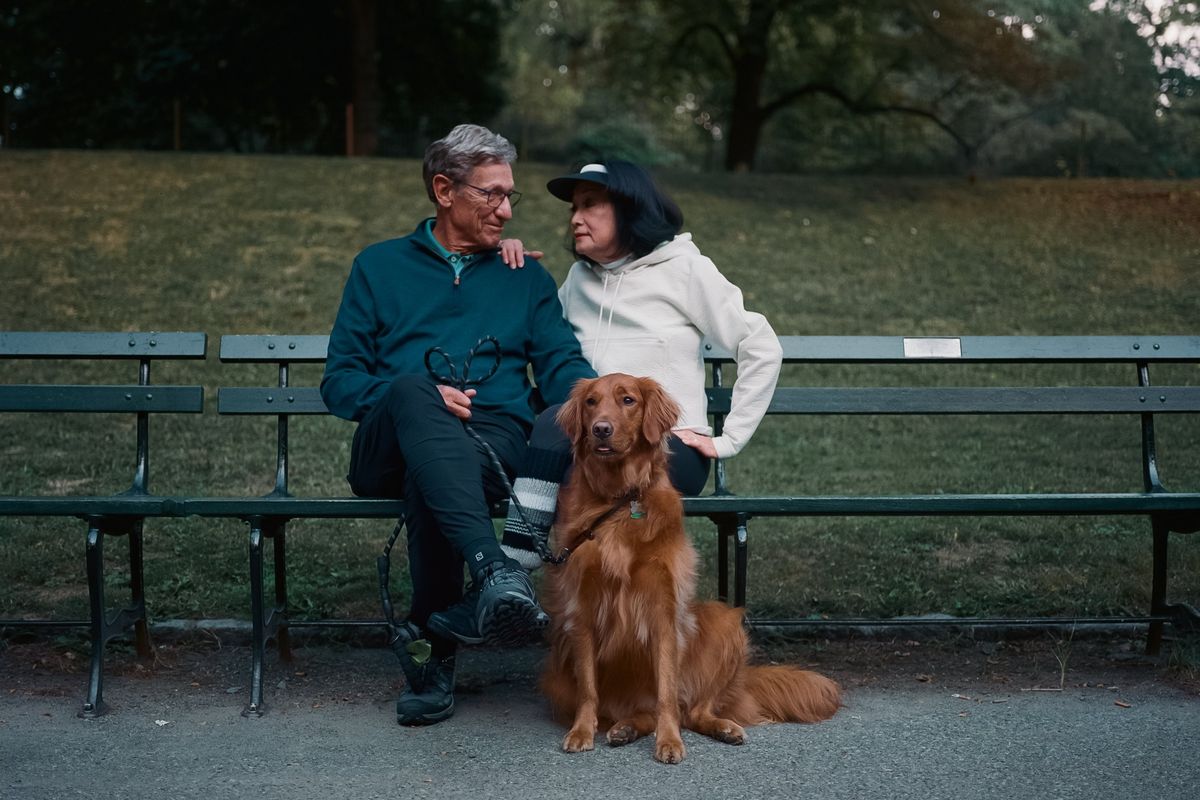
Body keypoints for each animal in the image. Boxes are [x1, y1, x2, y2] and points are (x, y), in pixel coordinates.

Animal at [540, 374, 840, 762]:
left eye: (628, 400)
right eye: (591, 402)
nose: (600, 429)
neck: (621, 499)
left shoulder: (664, 610)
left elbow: (668, 692)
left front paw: (669, 741)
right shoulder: (583, 606)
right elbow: (589, 687)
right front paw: (581, 730)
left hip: (725, 624)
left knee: (691, 709)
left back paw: (721, 727)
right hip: (557, 676)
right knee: (644, 711)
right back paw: (623, 728)